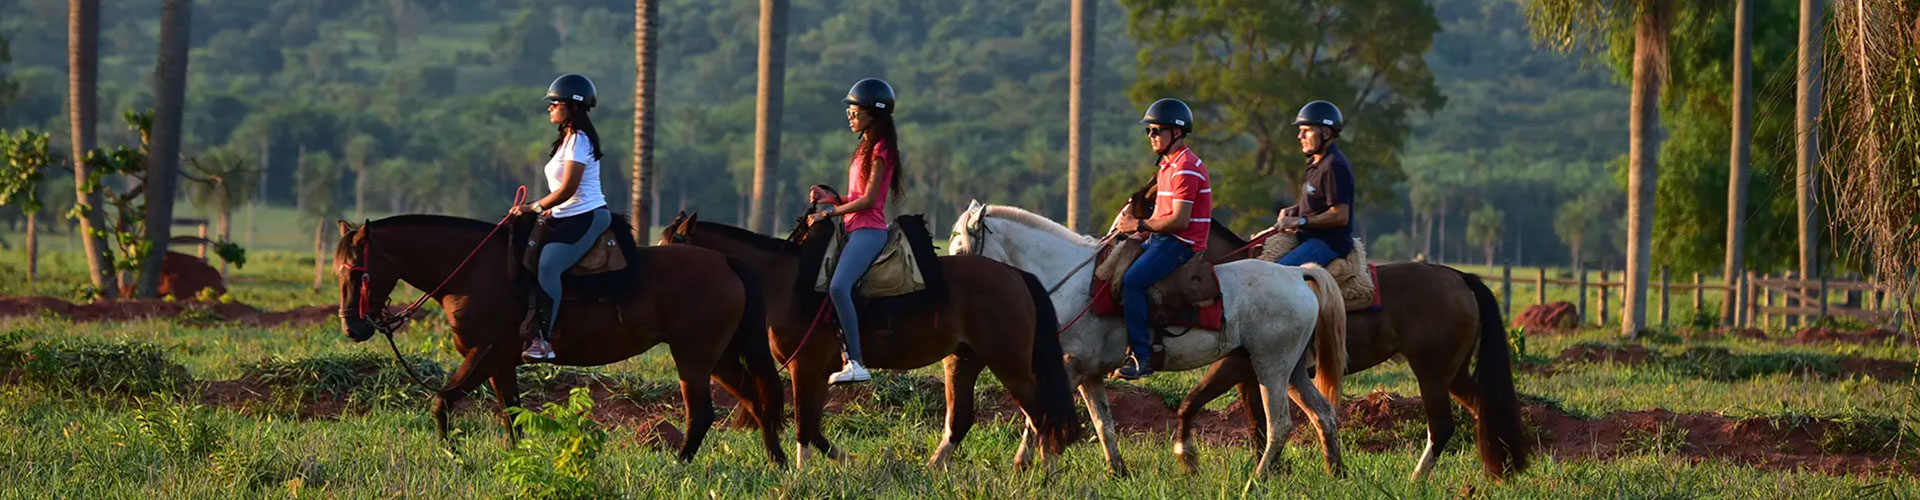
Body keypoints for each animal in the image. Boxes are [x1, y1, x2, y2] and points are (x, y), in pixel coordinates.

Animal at [332, 216, 787, 467]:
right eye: (338, 271)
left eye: (359, 273)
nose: (353, 329)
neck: (475, 272)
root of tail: (727, 261)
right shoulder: (501, 363)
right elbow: (511, 414)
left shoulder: (484, 355)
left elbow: (441, 402)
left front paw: (452, 455)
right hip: (718, 357)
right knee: (755, 399)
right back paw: (777, 461)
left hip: (693, 356)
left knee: (702, 413)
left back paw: (680, 464)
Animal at [660, 212, 1082, 471]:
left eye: (675, 247)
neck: (786, 284)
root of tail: (1016, 276)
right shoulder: (815, 372)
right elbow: (813, 427)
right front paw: (845, 461)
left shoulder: (804, 368)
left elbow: (804, 426)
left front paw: (800, 474)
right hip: (964, 359)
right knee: (963, 419)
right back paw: (935, 468)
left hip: (1009, 362)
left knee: (1042, 413)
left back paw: (1043, 473)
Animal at [948, 202, 1351, 476]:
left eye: (962, 249)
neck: (1071, 283)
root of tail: (1296, 275)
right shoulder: (1089, 375)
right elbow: (1104, 425)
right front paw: (1117, 471)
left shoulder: (1070, 369)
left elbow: (1040, 417)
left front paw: (1021, 467)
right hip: (1291, 370)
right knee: (1323, 414)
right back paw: (1334, 472)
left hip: (1271, 367)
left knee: (1279, 425)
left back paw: (1257, 480)